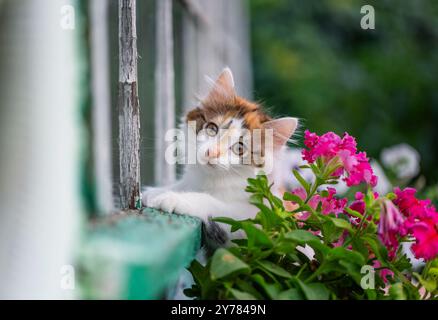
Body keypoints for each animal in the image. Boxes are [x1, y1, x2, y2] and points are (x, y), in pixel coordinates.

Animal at [143, 67, 298, 246]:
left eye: (239, 148)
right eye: (212, 128)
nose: (212, 152)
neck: (212, 179)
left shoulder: (255, 217)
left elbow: (210, 201)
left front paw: (172, 198)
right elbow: (182, 185)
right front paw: (156, 192)